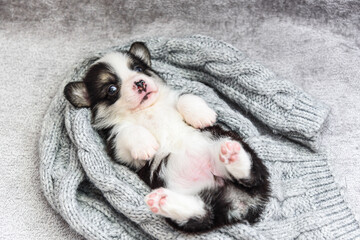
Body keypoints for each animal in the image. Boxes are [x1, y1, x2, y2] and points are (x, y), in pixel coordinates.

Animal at [64, 41, 270, 232]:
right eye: (112, 89)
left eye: (139, 69)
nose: (140, 83)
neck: (146, 109)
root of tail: (239, 203)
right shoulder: (118, 144)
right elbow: (130, 132)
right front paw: (146, 146)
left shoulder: (175, 97)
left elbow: (185, 98)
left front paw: (202, 116)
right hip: (193, 207)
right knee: (201, 214)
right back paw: (163, 200)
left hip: (233, 146)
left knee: (251, 174)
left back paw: (233, 155)